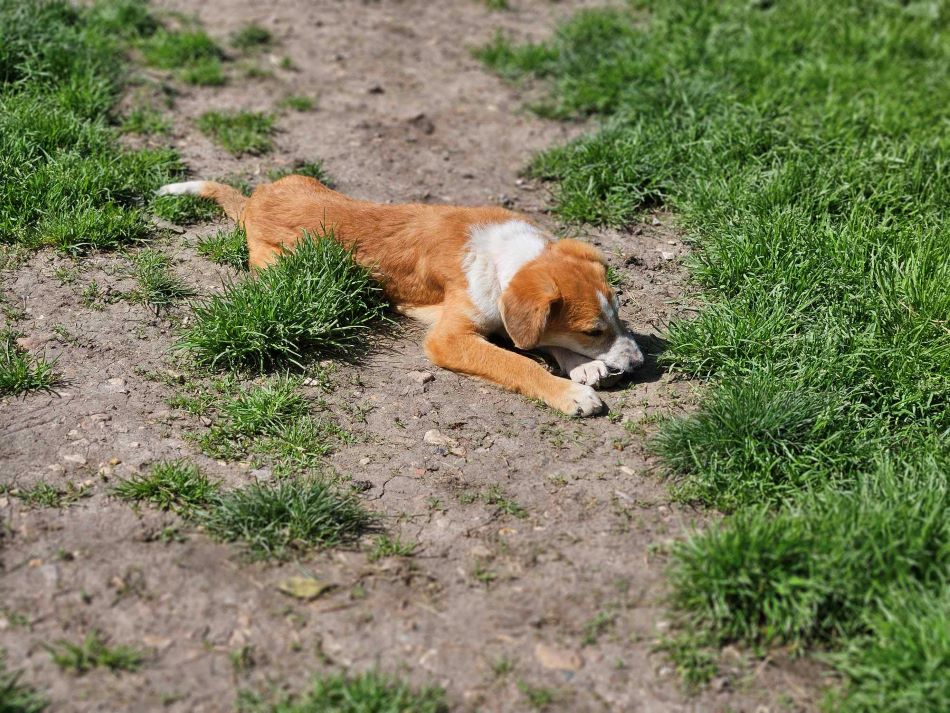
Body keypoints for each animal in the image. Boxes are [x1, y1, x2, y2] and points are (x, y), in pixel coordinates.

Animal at [158, 175, 648, 414]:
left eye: (617, 316)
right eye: (591, 331)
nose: (639, 364)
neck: (506, 256)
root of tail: (255, 198)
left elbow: (533, 338)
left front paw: (583, 367)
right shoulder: (448, 337)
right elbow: (517, 360)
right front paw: (571, 393)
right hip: (278, 266)